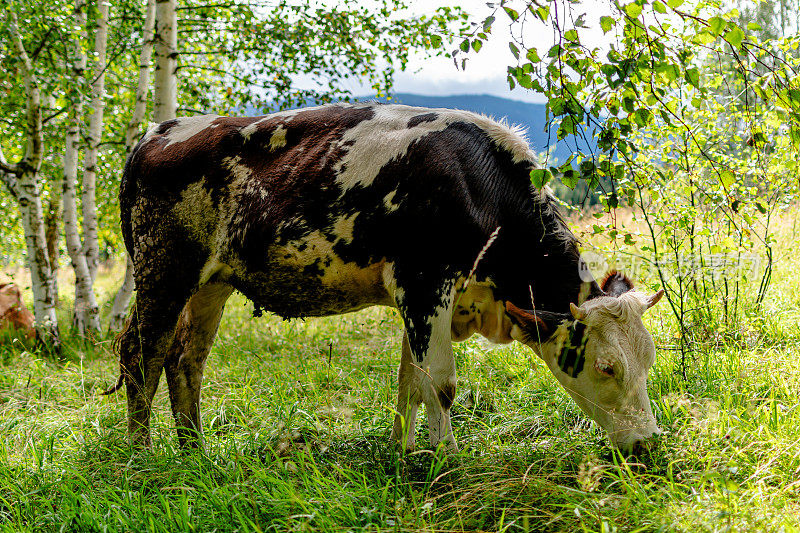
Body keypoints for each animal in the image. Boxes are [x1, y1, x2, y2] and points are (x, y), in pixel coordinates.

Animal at [109, 103, 664, 454]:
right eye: (606, 366)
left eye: (649, 359)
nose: (647, 444)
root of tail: (160, 131)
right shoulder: (424, 283)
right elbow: (440, 383)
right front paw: (446, 457)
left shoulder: (423, 299)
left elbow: (409, 381)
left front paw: (402, 452)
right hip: (163, 270)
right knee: (143, 353)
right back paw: (144, 455)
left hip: (211, 283)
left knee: (186, 361)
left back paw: (195, 452)